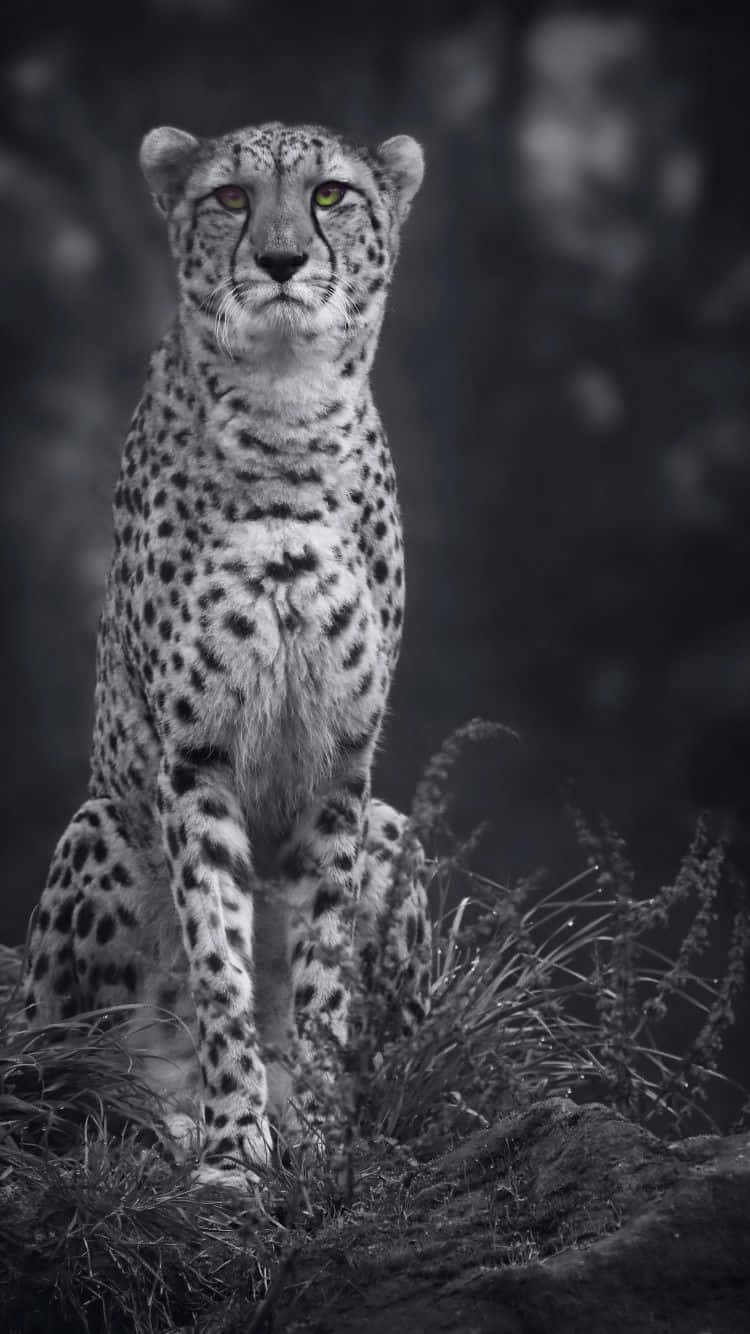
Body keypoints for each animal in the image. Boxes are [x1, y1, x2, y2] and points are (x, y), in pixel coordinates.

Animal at [23, 120, 431, 1184]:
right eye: (231, 199)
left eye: (330, 195)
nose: (281, 260)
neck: (286, 417)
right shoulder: (193, 758)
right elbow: (218, 960)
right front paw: (235, 1148)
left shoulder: (341, 764)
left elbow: (322, 971)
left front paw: (318, 1132)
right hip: (101, 830)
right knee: (62, 1083)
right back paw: (162, 1117)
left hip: (395, 828)